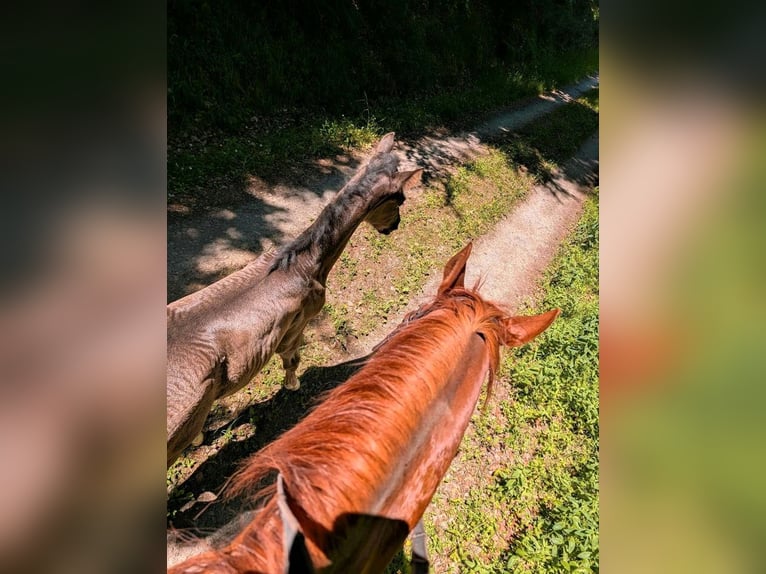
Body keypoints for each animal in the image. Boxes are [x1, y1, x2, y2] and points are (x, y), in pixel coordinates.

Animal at [167, 132, 422, 466]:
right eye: (399, 199)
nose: (394, 226)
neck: (305, 264)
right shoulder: (300, 320)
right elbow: (292, 358)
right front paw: (293, 384)